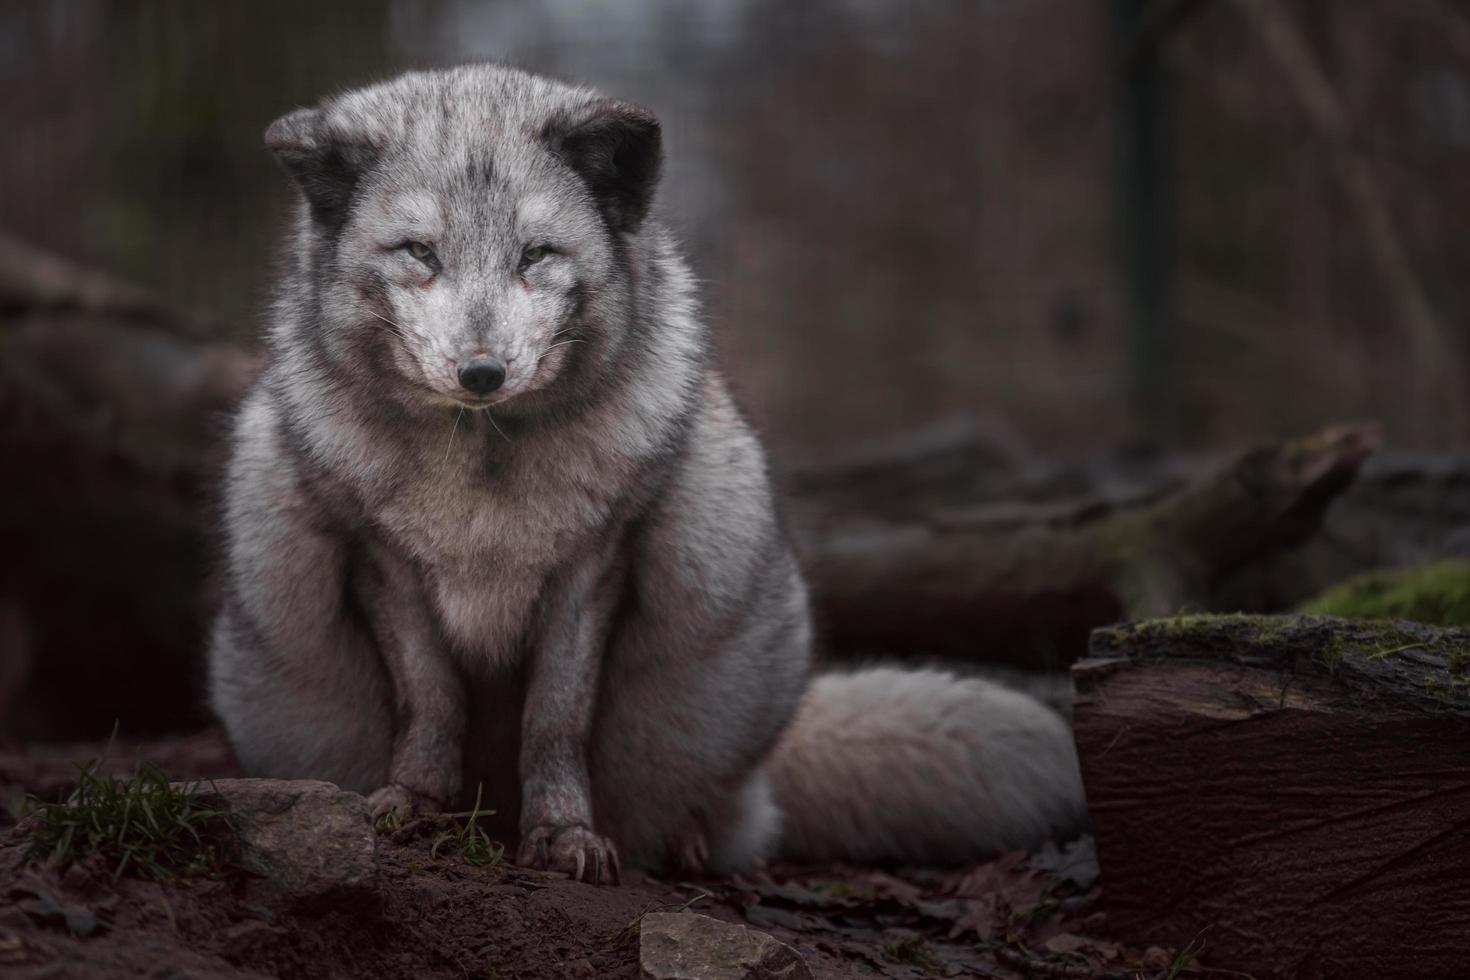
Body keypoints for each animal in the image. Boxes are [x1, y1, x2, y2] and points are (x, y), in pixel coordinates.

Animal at [207, 65, 1087, 887]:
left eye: (537, 255)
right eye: (420, 253)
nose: (483, 372)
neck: (483, 471)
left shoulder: (595, 564)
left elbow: (555, 719)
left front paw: (563, 834)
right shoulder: (381, 561)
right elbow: (432, 700)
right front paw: (417, 803)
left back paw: (685, 843)